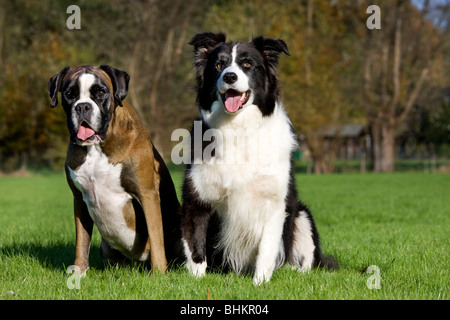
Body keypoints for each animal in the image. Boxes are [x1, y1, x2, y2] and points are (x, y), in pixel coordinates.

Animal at [181, 31, 336, 282]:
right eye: (218, 65)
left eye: (247, 64)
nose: (230, 76)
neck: (238, 127)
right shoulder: (198, 199)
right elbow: (195, 246)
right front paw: (197, 281)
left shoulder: (274, 204)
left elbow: (267, 248)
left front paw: (260, 283)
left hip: (302, 215)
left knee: (304, 262)